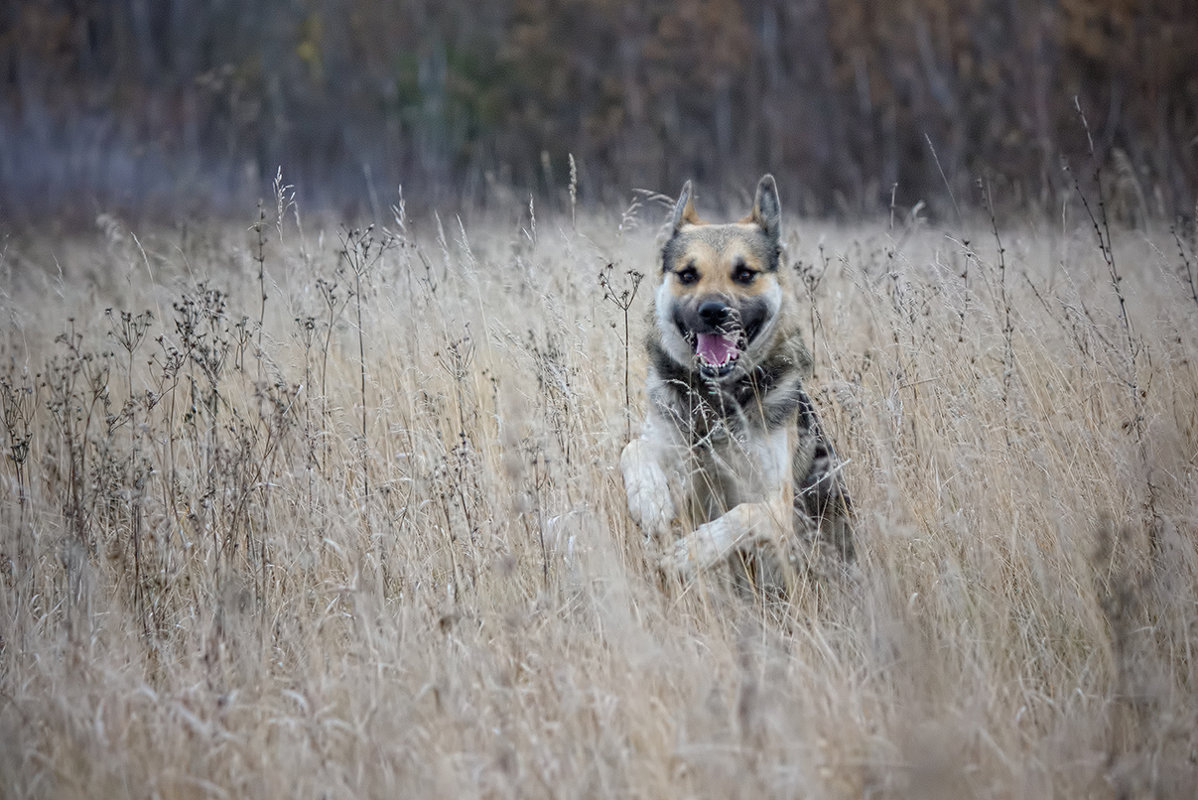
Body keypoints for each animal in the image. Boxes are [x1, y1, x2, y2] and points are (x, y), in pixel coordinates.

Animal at [618, 172, 852, 591]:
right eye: (688, 274)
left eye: (744, 274)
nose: (713, 312)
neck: (717, 403)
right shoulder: (668, 446)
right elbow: (633, 448)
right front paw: (650, 501)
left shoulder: (778, 504)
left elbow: (746, 512)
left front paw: (692, 553)